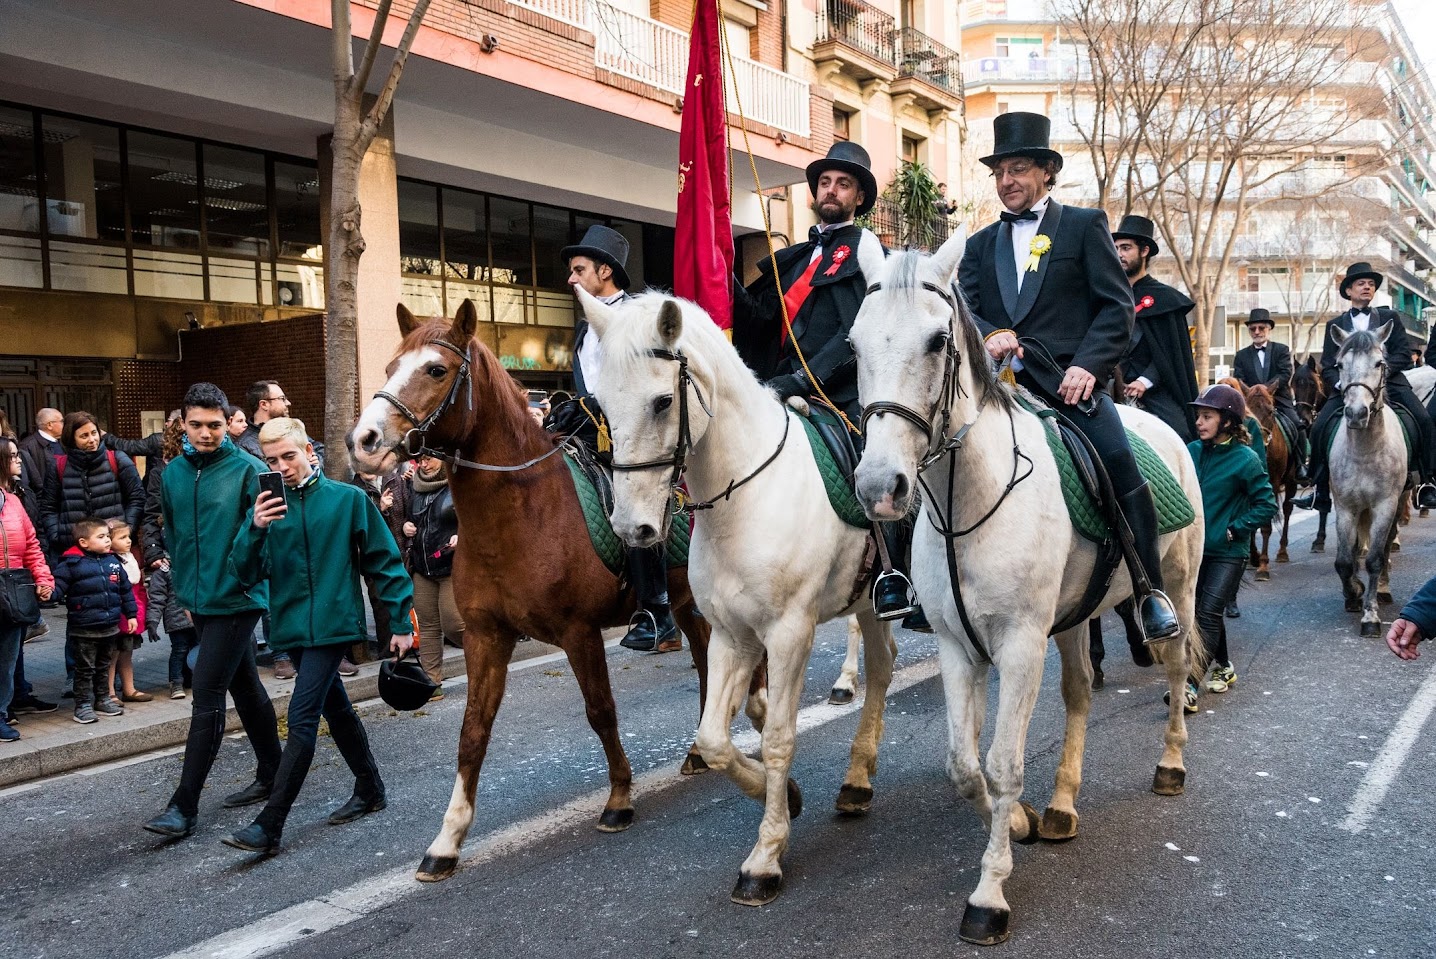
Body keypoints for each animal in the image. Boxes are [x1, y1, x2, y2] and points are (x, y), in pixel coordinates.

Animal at [348, 302, 763, 878]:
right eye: (389, 367)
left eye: (435, 369)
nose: (363, 442)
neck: (520, 512)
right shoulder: (485, 637)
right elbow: (472, 732)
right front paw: (446, 840)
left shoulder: (578, 632)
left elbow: (600, 710)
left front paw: (619, 799)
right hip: (687, 604)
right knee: (705, 665)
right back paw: (701, 752)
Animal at [574, 287, 896, 907]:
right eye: (601, 405)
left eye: (660, 402)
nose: (631, 528)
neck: (744, 496)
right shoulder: (730, 633)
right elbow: (716, 739)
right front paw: (785, 796)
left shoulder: (790, 632)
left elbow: (778, 738)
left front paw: (765, 857)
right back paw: (857, 780)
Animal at [844, 229, 1206, 941]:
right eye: (854, 342)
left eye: (937, 341)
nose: (879, 487)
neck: (970, 498)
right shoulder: (961, 648)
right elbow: (964, 765)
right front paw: (1017, 821)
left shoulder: (1018, 645)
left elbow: (1004, 762)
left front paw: (988, 894)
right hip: (1071, 621)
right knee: (1079, 694)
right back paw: (1062, 806)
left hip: (1176, 586)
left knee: (1177, 665)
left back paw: (1171, 765)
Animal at [1246, 381, 1303, 577]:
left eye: (1270, 411)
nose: (1256, 439)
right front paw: (1253, 557)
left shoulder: (1273, 483)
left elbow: (1265, 526)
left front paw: (1263, 565)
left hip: (1291, 482)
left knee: (1287, 510)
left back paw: (1282, 552)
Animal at [1326, 324, 1407, 637]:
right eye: (1339, 364)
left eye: (1379, 363)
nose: (1357, 413)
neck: (1365, 450)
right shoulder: (1345, 507)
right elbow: (1344, 561)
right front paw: (1353, 593)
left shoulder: (1385, 505)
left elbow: (1374, 559)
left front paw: (1370, 615)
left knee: (1383, 549)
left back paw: (1382, 589)